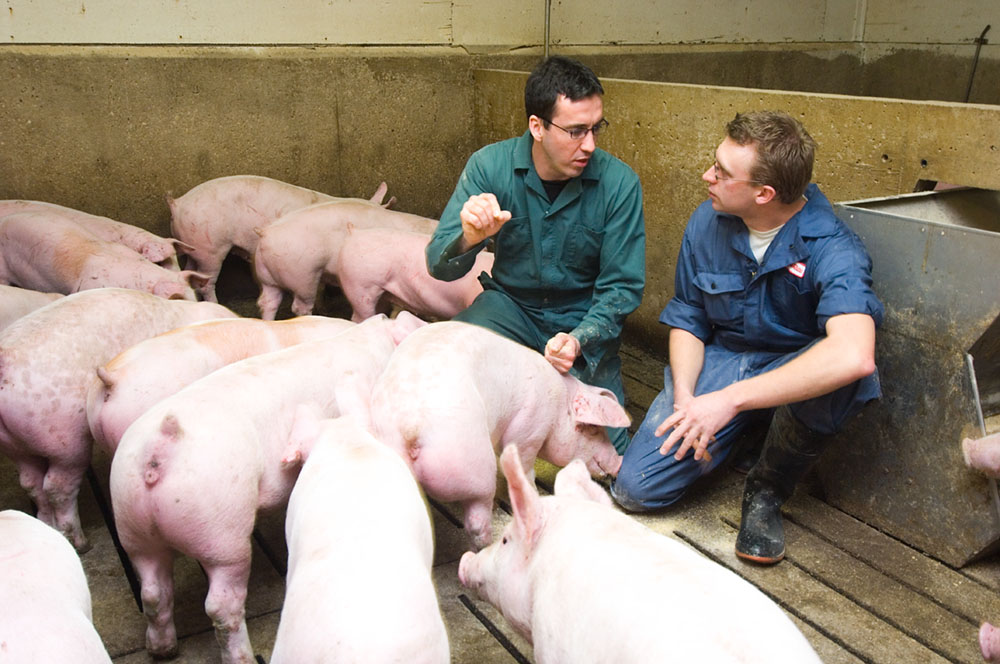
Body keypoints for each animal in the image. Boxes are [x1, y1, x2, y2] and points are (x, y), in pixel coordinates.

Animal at [0, 287, 237, 552]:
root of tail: (5, 359)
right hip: (64, 440)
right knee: (56, 485)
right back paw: (82, 543)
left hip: (13, 443)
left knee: (31, 483)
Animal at [370, 321, 628, 550]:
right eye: (593, 428)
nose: (620, 461)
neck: (559, 402)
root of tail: (410, 427)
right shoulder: (530, 429)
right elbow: (525, 467)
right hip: (472, 464)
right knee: (477, 518)